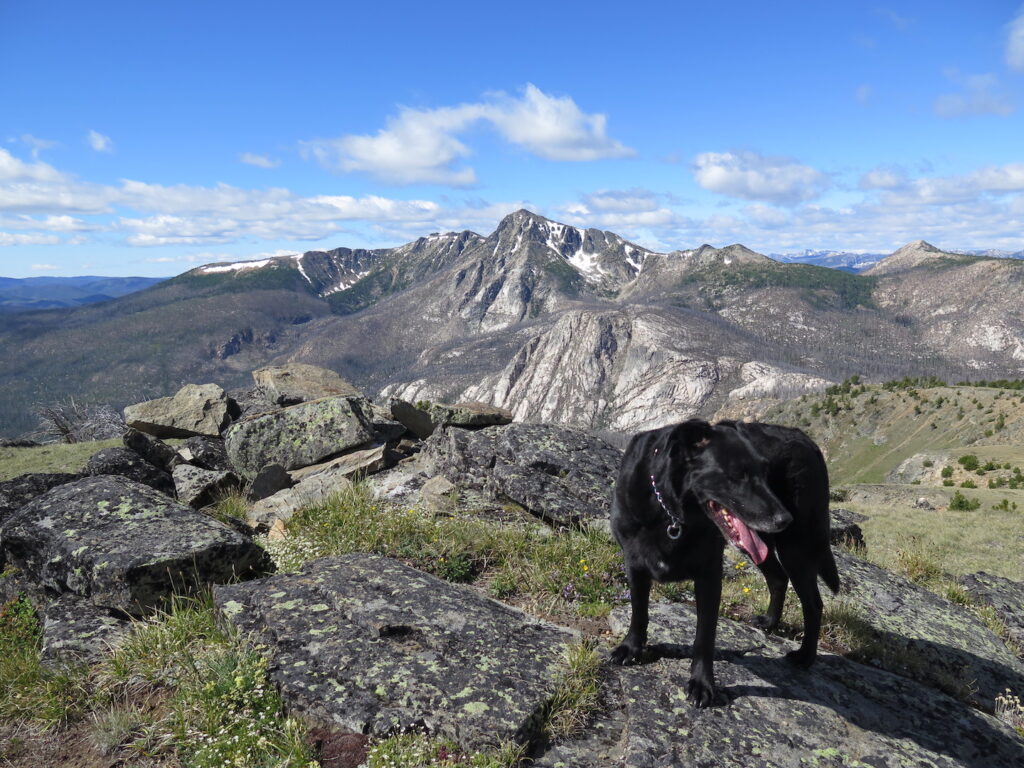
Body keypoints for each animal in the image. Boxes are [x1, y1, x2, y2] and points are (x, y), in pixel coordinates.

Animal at [606, 421, 839, 708]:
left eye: (764, 472)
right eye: (737, 475)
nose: (785, 518)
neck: (669, 514)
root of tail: (807, 441)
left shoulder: (709, 576)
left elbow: (705, 636)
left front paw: (702, 684)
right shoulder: (635, 564)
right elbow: (639, 611)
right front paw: (631, 648)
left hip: (796, 547)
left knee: (813, 603)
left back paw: (805, 655)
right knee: (777, 577)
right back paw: (770, 622)